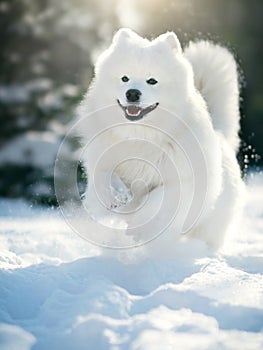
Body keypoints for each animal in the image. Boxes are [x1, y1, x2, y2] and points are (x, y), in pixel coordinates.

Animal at [75, 29, 244, 249]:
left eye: (152, 81)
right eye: (124, 78)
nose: (132, 93)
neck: (140, 135)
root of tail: (221, 135)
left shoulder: (180, 183)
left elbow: (155, 202)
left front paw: (137, 225)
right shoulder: (101, 158)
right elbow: (102, 176)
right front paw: (115, 197)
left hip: (210, 226)